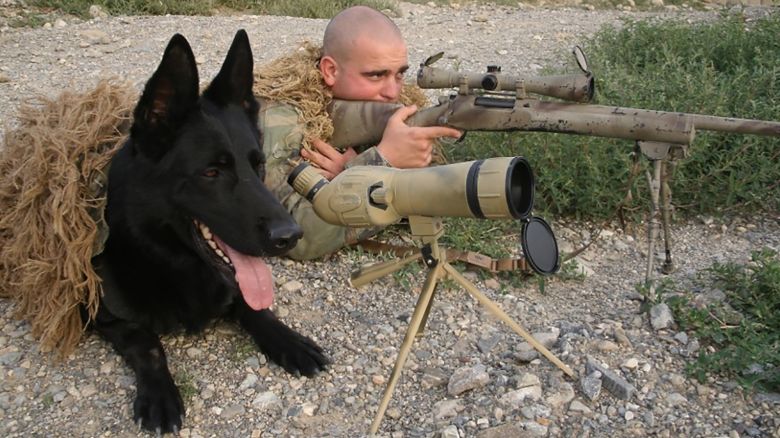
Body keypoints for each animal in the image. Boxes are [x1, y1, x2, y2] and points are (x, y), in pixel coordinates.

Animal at [90, 31, 330, 434]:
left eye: (258, 165)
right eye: (211, 172)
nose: (290, 235)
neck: (167, 261)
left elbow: (255, 308)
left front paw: (289, 340)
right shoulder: (99, 314)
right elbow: (145, 341)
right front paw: (160, 394)